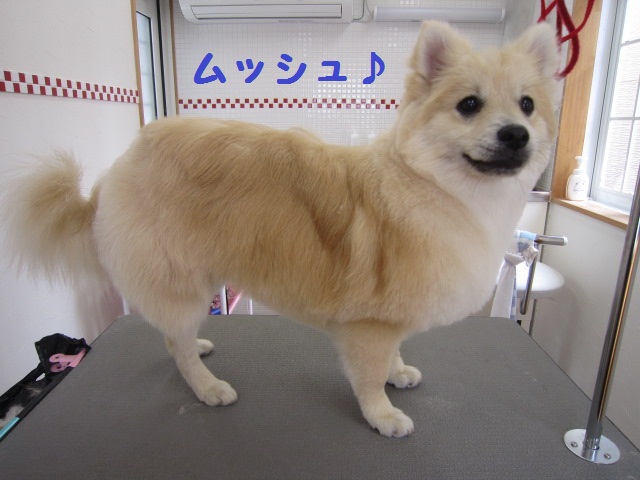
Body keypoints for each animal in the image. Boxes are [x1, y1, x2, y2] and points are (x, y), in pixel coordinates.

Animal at [3, 21, 560, 437]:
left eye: (527, 105)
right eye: (469, 105)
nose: (516, 134)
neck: (434, 186)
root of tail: (117, 169)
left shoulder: (391, 314)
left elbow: (395, 352)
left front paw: (399, 372)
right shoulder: (369, 326)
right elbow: (369, 378)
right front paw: (382, 414)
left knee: (172, 337)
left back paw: (198, 348)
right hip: (180, 279)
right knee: (175, 343)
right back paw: (208, 386)